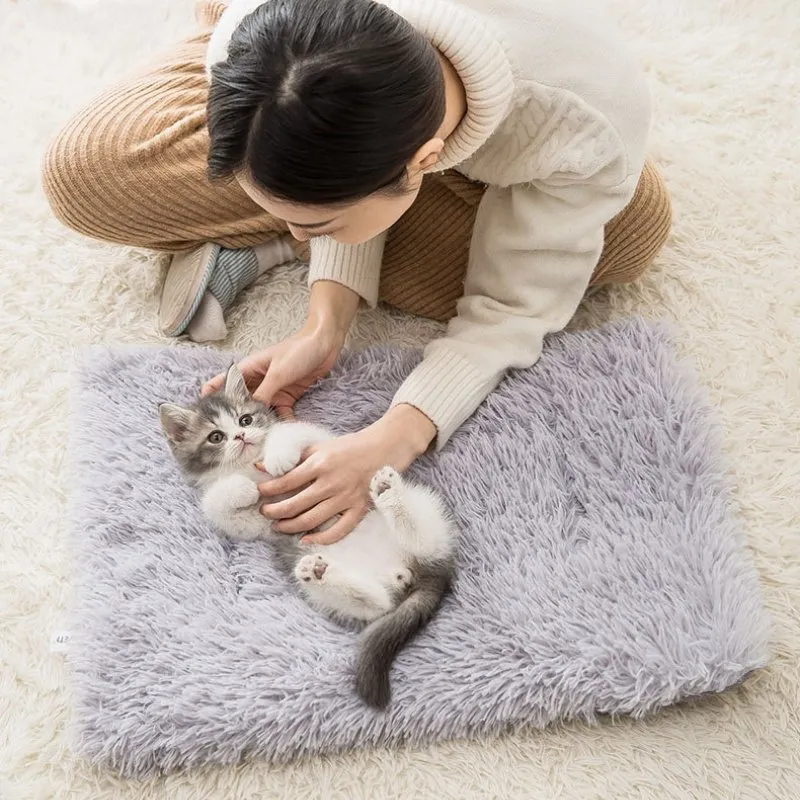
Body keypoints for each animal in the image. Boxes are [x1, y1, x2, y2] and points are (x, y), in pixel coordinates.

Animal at [158, 362, 456, 708]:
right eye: (216, 437)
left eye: (245, 420)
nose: (242, 436)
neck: (249, 465)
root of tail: (406, 571)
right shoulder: (262, 523)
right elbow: (219, 507)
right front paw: (240, 488)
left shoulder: (322, 443)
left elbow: (292, 431)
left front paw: (277, 457)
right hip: (316, 569)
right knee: (378, 605)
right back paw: (322, 573)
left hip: (426, 511)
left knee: (425, 540)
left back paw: (389, 494)